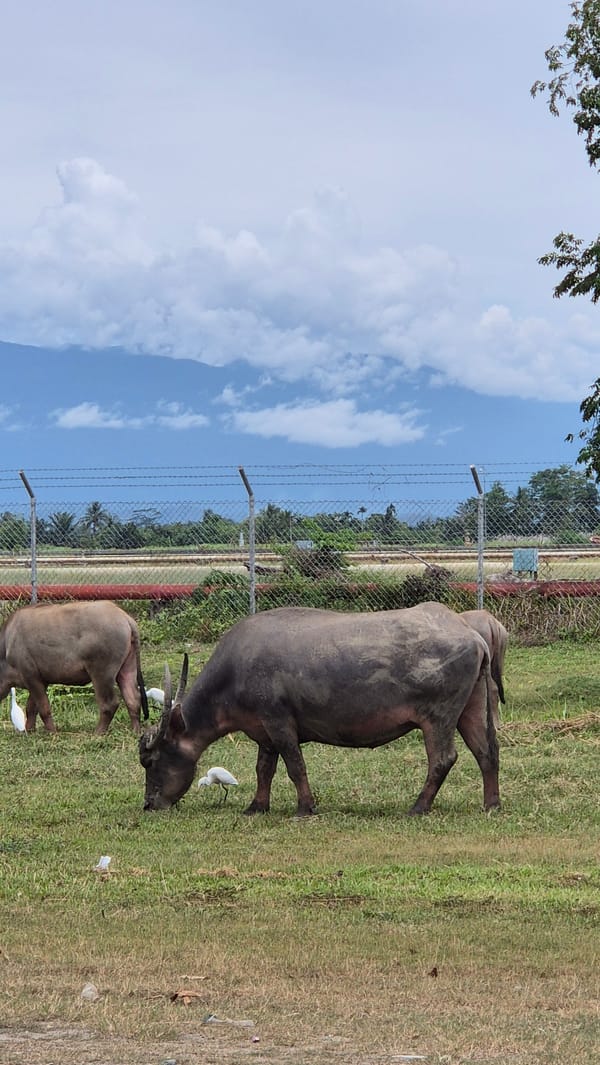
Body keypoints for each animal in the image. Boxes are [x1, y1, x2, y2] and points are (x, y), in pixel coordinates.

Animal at [0, 600, 148, 733]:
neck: (7, 646)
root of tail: (125, 618)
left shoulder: (30, 676)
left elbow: (43, 708)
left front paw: (52, 732)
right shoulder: (40, 680)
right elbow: (31, 707)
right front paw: (29, 730)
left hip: (101, 673)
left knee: (109, 703)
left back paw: (98, 732)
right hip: (128, 668)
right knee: (133, 698)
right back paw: (136, 731)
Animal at [140, 603, 499, 816]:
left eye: (151, 761)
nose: (149, 804)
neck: (235, 672)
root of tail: (472, 635)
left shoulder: (279, 722)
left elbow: (295, 766)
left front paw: (305, 806)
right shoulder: (263, 732)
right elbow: (263, 769)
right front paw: (257, 806)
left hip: (438, 718)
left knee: (443, 758)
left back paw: (419, 805)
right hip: (471, 708)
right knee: (486, 751)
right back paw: (491, 803)